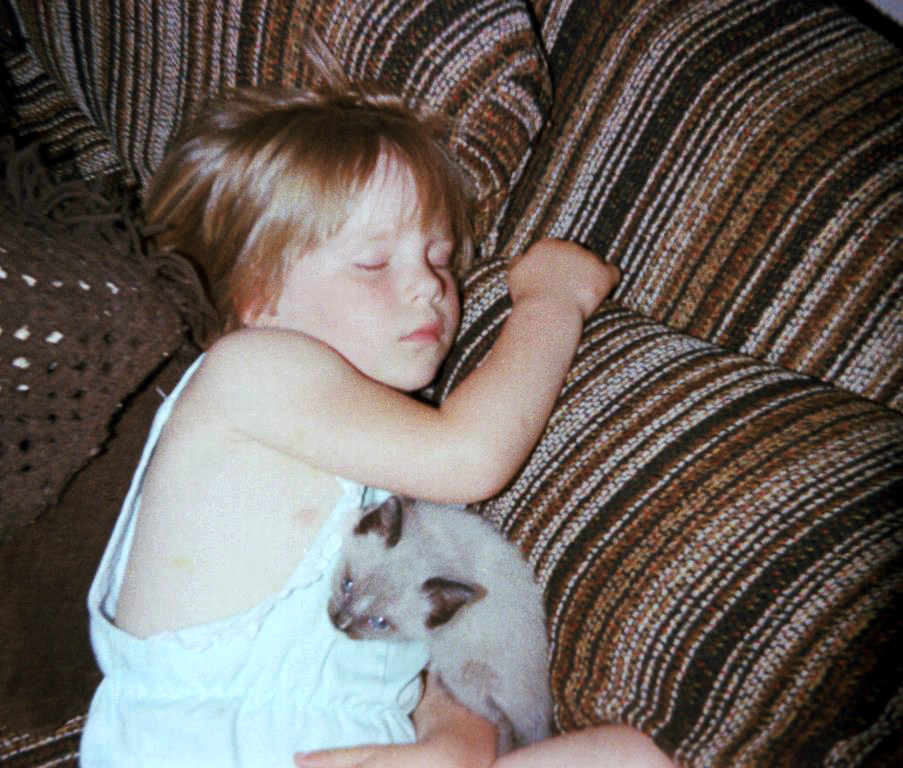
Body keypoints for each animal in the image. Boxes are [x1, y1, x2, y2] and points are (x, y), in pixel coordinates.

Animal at [328, 495, 552, 753]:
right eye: (347, 585)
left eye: (379, 623)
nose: (339, 623)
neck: (434, 550)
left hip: (463, 675)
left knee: (500, 722)